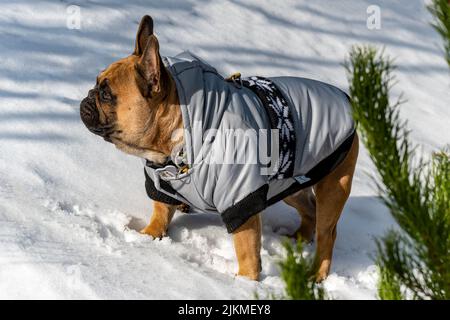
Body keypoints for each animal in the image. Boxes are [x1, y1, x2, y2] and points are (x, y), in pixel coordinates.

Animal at [79, 15, 356, 280]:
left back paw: (316, 274)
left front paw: (245, 281)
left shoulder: (240, 196)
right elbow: (161, 211)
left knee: (327, 232)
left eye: (106, 95)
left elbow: (246, 248)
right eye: (96, 84)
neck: (177, 146)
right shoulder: (162, 184)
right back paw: (298, 239)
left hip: (334, 186)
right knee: (309, 209)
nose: (87, 98)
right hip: (290, 185)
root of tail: (345, 98)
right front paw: (149, 235)